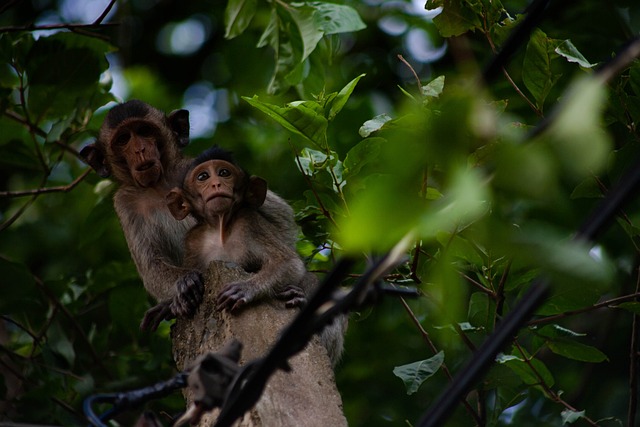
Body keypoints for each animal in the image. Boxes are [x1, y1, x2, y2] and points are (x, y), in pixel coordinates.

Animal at [80, 101, 300, 332]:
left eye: (144, 131)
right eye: (123, 139)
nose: (140, 149)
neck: (159, 185)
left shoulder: (192, 166)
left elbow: (281, 215)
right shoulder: (125, 202)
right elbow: (151, 265)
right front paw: (184, 283)